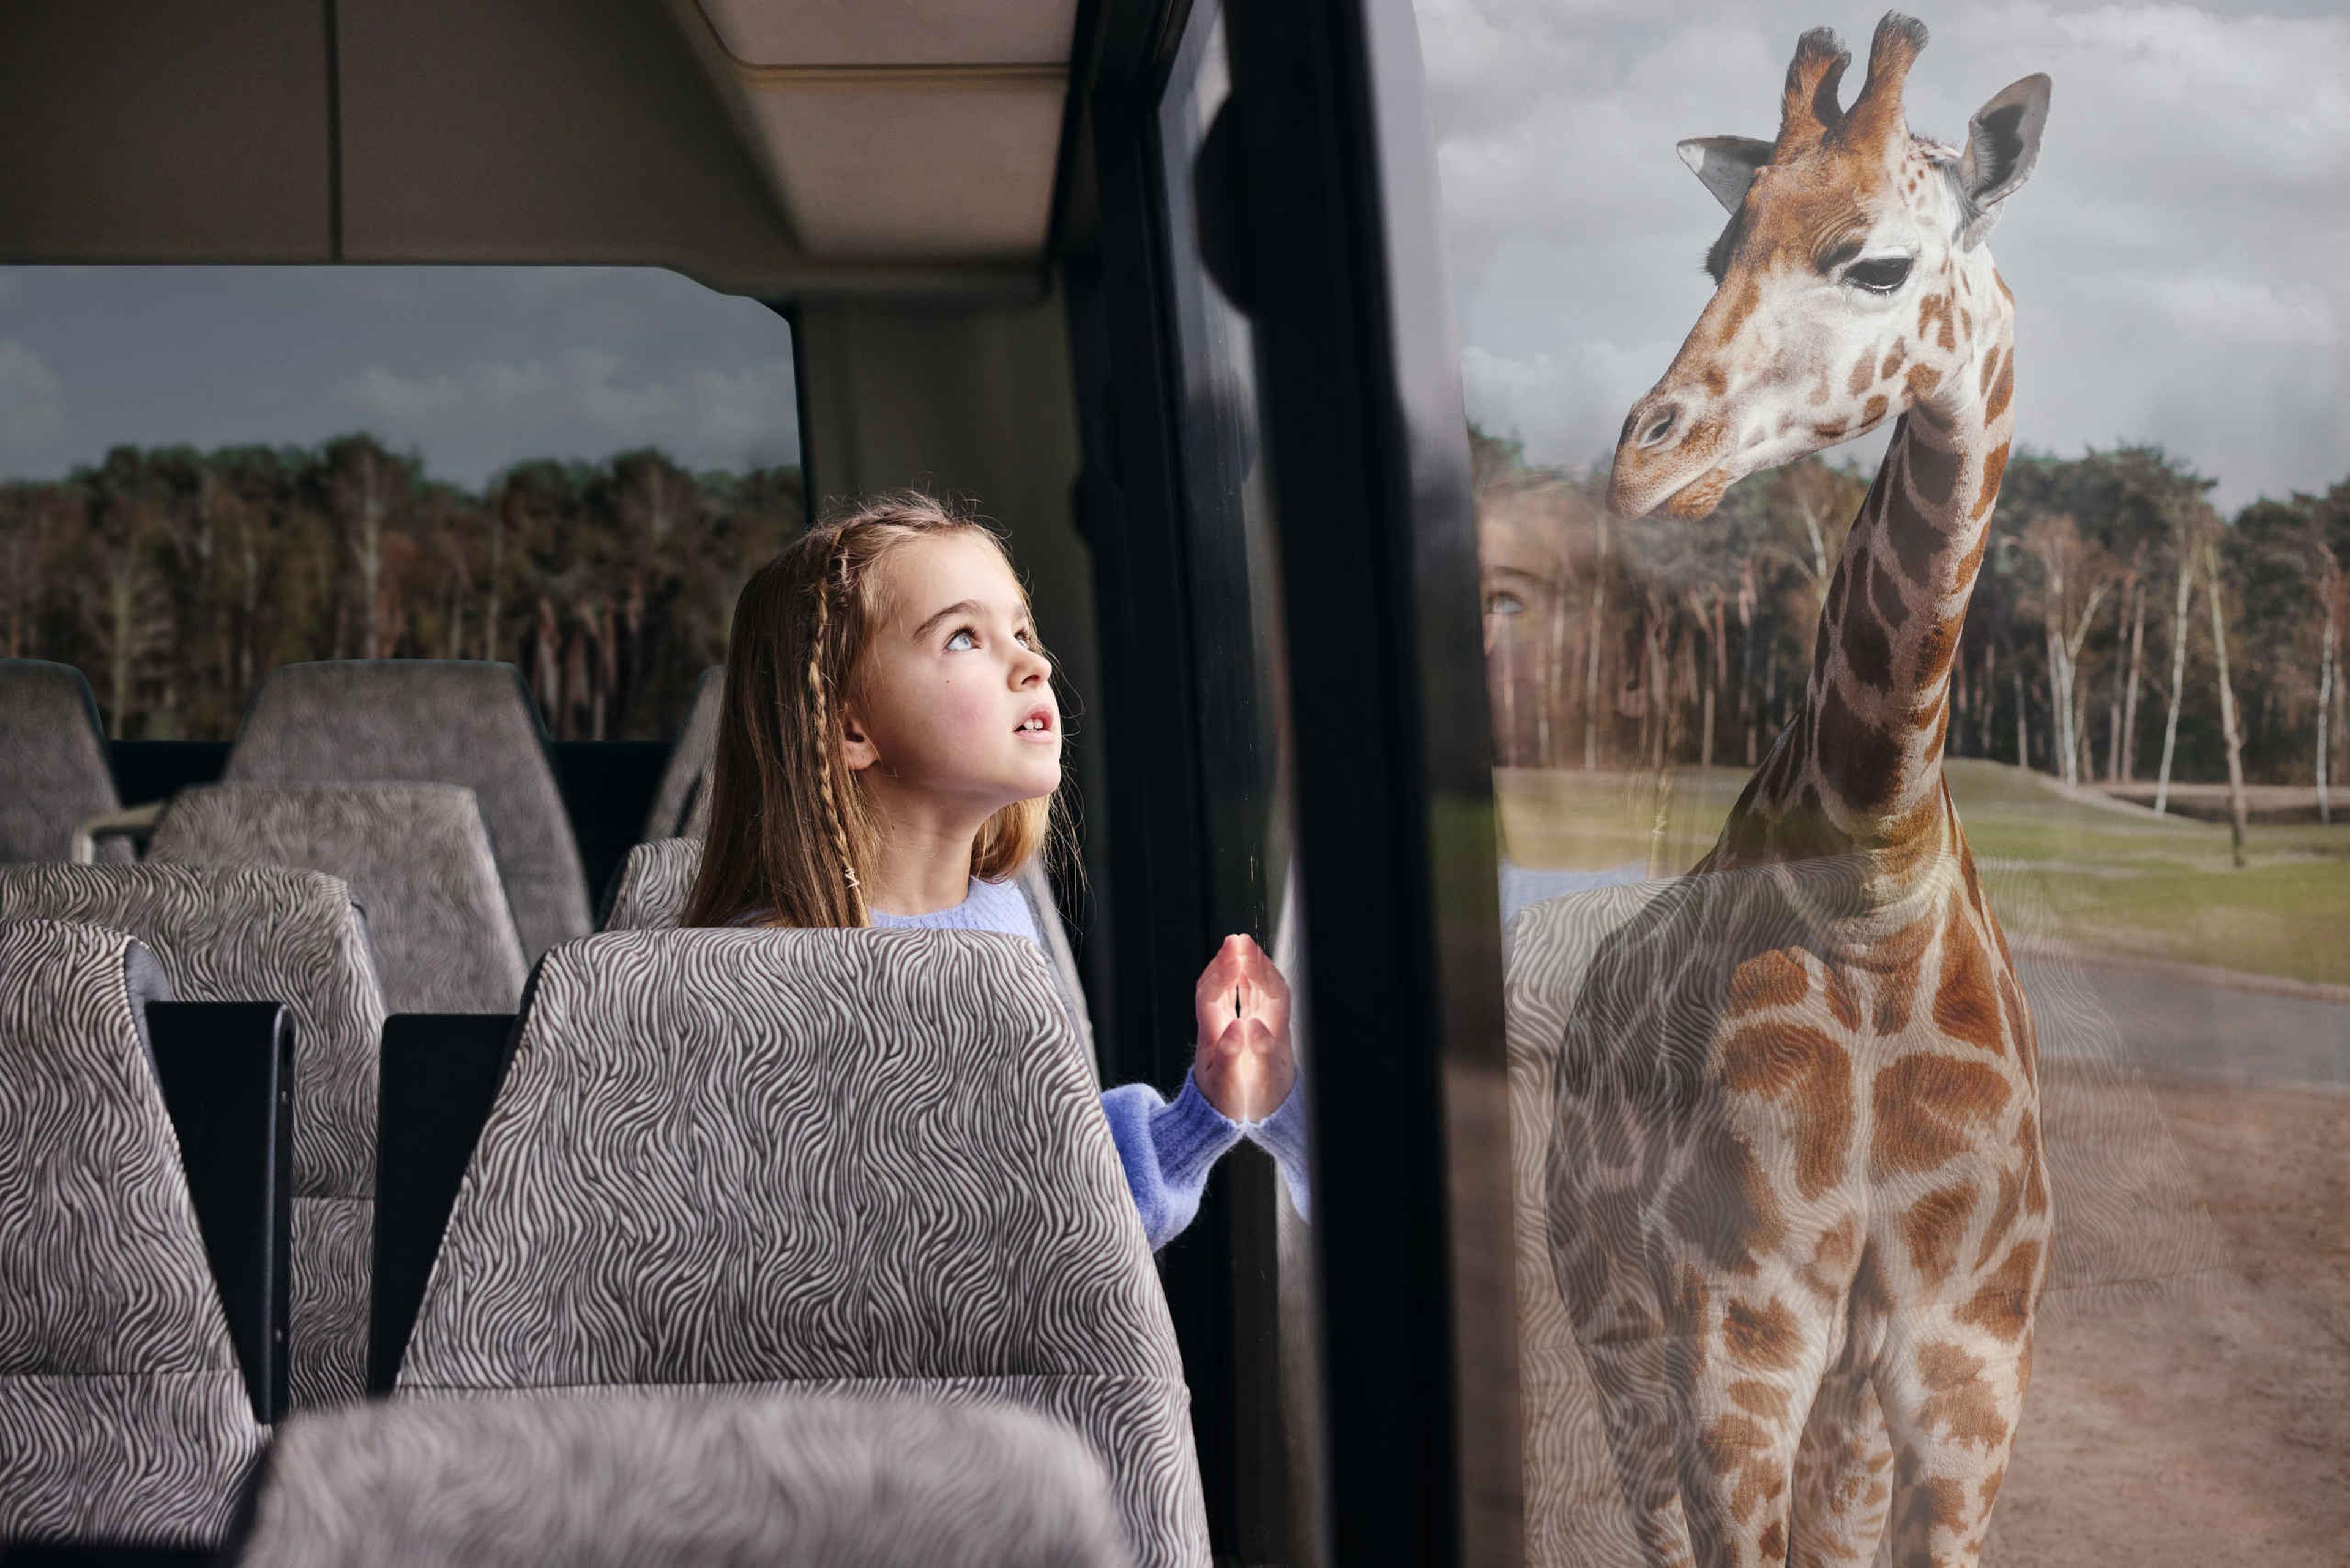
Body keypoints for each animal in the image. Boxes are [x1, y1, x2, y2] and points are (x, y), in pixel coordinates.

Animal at [1543, 14, 2053, 1567]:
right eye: (1720, 252)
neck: (1872, 885)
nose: (1646, 463)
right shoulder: (1739, 1339)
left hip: (1835, 1390)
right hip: (1612, 1319)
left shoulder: (1967, 1363)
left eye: (1875, 264)